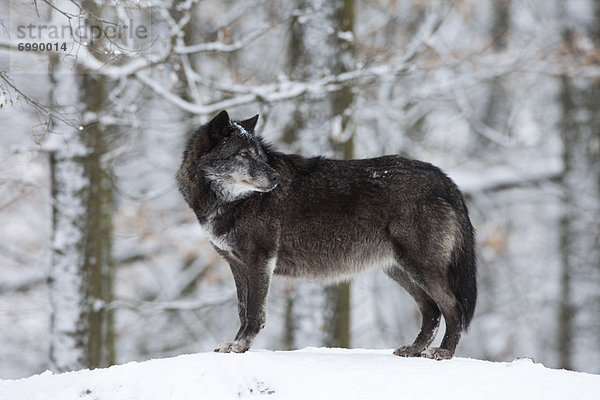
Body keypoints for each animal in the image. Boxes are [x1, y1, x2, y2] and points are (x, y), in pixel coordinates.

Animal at [175, 109, 478, 360]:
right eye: (243, 155)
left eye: (258, 155)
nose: (275, 178)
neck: (233, 201)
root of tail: (444, 179)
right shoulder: (237, 265)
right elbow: (242, 309)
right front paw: (236, 344)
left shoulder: (259, 261)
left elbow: (253, 312)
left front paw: (241, 346)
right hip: (400, 271)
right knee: (431, 310)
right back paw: (414, 349)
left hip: (420, 268)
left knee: (452, 306)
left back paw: (443, 352)